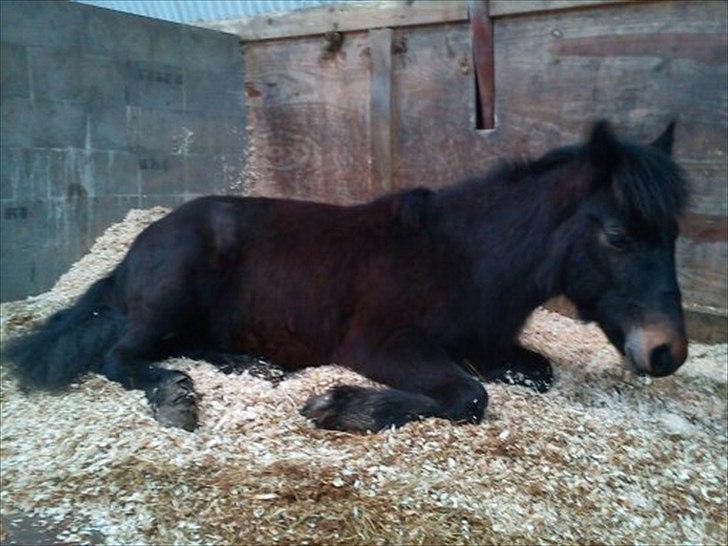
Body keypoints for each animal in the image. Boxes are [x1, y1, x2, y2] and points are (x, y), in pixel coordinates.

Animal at [3, 120, 689, 433]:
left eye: (673, 235)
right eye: (618, 235)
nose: (668, 352)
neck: (466, 260)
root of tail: (133, 251)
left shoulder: (494, 345)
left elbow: (531, 372)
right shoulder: (379, 343)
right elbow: (470, 395)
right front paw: (341, 406)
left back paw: (247, 366)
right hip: (172, 291)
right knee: (121, 355)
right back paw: (175, 396)